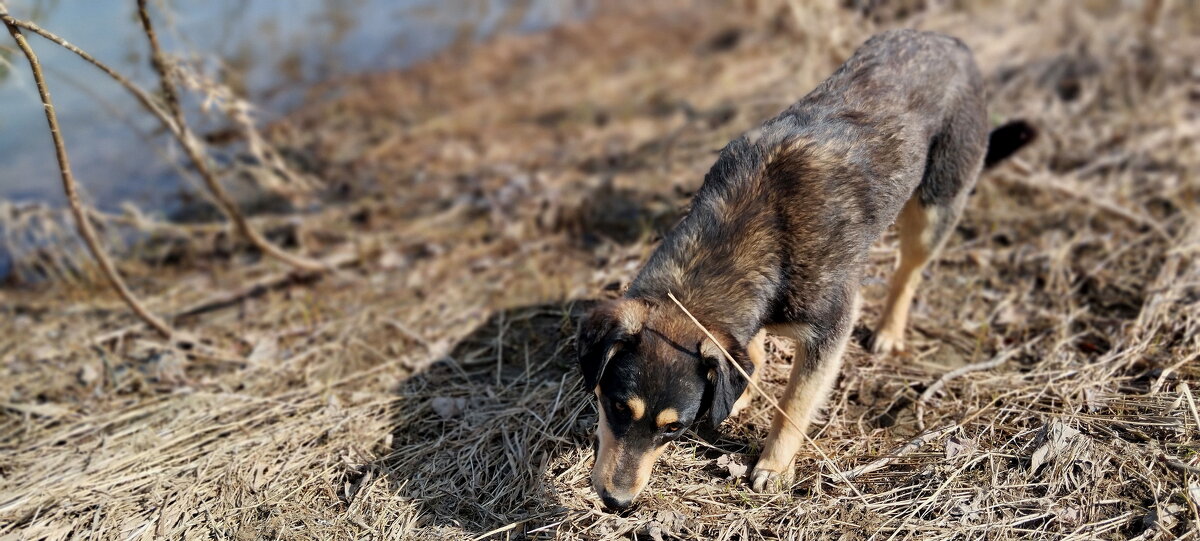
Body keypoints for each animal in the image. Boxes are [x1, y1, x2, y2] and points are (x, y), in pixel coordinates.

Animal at [571, 29, 1032, 513]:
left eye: (674, 429)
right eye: (615, 407)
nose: (616, 502)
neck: (748, 230)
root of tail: (949, 38)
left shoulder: (831, 326)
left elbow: (796, 400)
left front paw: (774, 467)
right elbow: (748, 355)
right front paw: (737, 393)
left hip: (936, 203)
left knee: (909, 271)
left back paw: (889, 330)